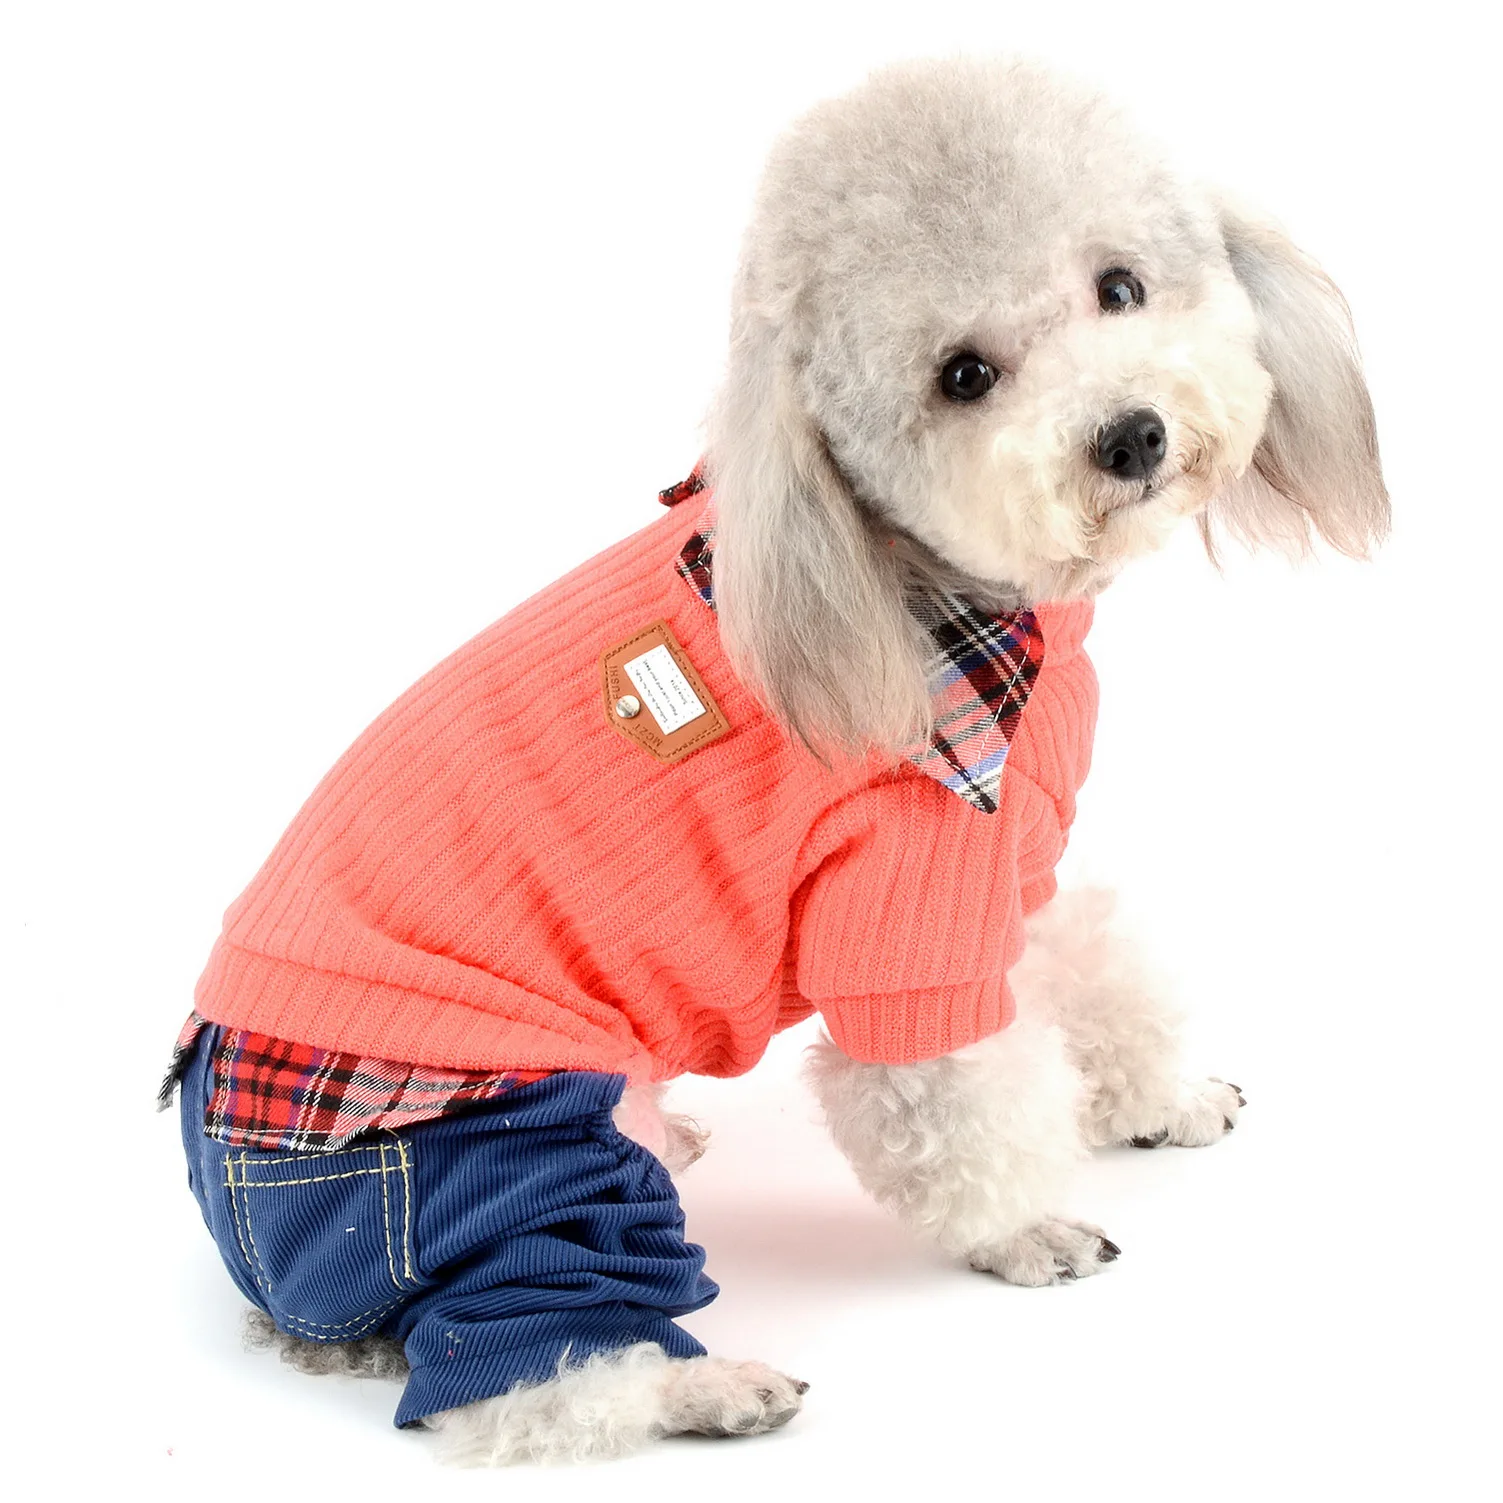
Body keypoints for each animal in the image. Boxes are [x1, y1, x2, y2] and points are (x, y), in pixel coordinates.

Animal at [168, 55, 1387, 1465]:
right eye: (965, 375)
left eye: (1123, 286)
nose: (1128, 433)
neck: (910, 580)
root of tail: (240, 1237)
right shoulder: (904, 907)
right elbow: (951, 1103)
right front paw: (1024, 1230)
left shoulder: (1009, 861)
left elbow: (1096, 976)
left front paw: (1161, 1099)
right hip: (487, 1165)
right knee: (518, 1375)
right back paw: (706, 1390)